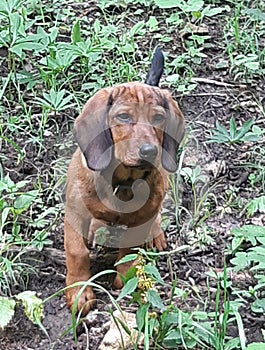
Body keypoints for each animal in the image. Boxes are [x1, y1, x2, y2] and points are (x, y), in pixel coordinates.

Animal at [64, 47, 184, 314]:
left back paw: (156, 234)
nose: (149, 152)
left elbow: (129, 249)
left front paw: (126, 276)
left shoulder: (139, 219)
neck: (122, 182)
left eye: (158, 118)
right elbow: (77, 252)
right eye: (123, 117)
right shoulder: (74, 214)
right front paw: (79, 291)